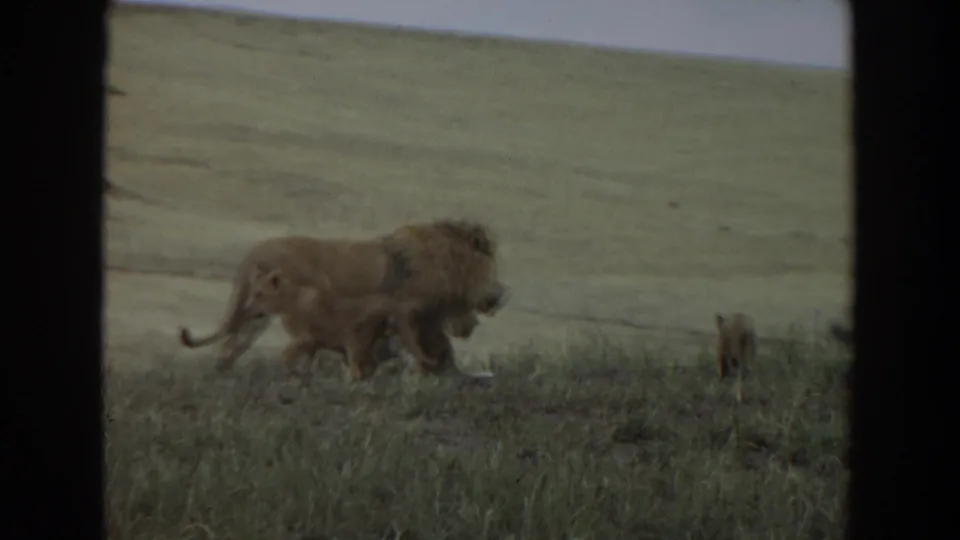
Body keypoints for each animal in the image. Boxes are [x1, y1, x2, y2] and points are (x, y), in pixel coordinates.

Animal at [178, 218, 507, 375]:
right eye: (493, 264)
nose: (498, 298)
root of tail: (253, 253)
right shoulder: (414, 317)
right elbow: (434, 353)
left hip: (255, 314)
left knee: (231, 348)